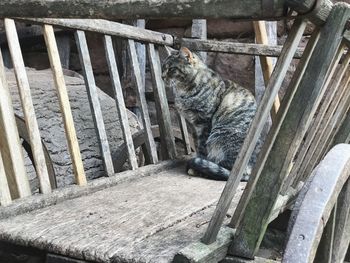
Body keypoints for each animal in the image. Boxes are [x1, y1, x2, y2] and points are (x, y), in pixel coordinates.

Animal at [162, 47, 260, 182]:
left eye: (171, 69)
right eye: (163, 67)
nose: (162, 76)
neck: (184, 91)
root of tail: (250, 170)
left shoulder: (204, 122)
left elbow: (202, 148)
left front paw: (198, 165)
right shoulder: (193, 125)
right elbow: (197, 145)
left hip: (219, 136)